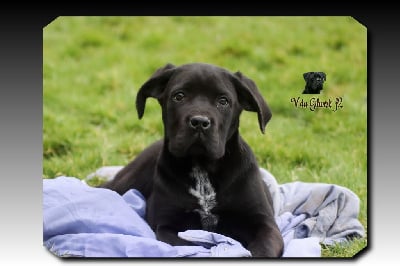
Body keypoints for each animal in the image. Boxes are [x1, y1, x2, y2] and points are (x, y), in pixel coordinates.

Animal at [103, 62, 284, 258]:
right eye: (179, 96)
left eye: (223, 101)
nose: (199, 122)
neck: (202, 166)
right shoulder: (166, 224)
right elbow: (187, 244)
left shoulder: (265, 223)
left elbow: (263, 247)